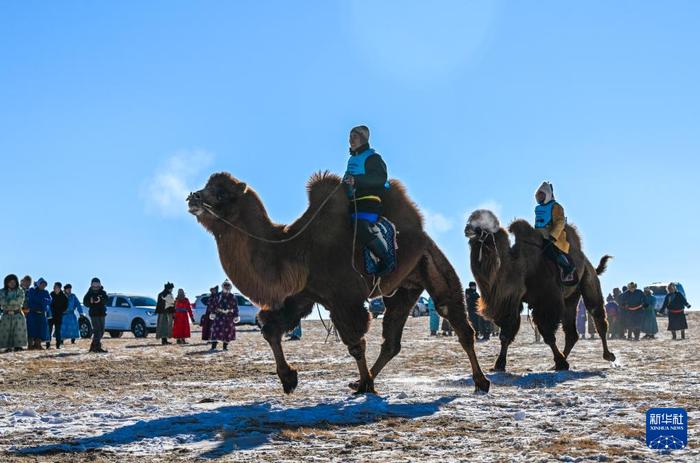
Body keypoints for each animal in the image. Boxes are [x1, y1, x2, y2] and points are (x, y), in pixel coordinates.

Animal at [189, 171, 490, 396]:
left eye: (221, 193)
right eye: (206, 186)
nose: (193, 197)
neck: (294, 249)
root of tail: (421, 232)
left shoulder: (344, 298)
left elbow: (355, 343)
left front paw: (365, 384)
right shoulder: (302, 295)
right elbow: (270, 329)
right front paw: (289, 379)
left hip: (431, 262)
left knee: (457, 321)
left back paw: (481, 381)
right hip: (405, 287)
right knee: (392, 340)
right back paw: (363, 380)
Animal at [464, 210, 616, 374]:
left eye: (480, 228)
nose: (467, 229)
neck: (519, 266)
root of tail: (588, 263)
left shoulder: (546, 300)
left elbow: (547, 333)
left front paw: (561, 362)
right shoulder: (511, 302)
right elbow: (506, 333)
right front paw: (498, 365)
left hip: (588, 279)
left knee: (597, 315)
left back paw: (608, 355)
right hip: (571, 297)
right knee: (571, 333)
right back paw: (558, 362)